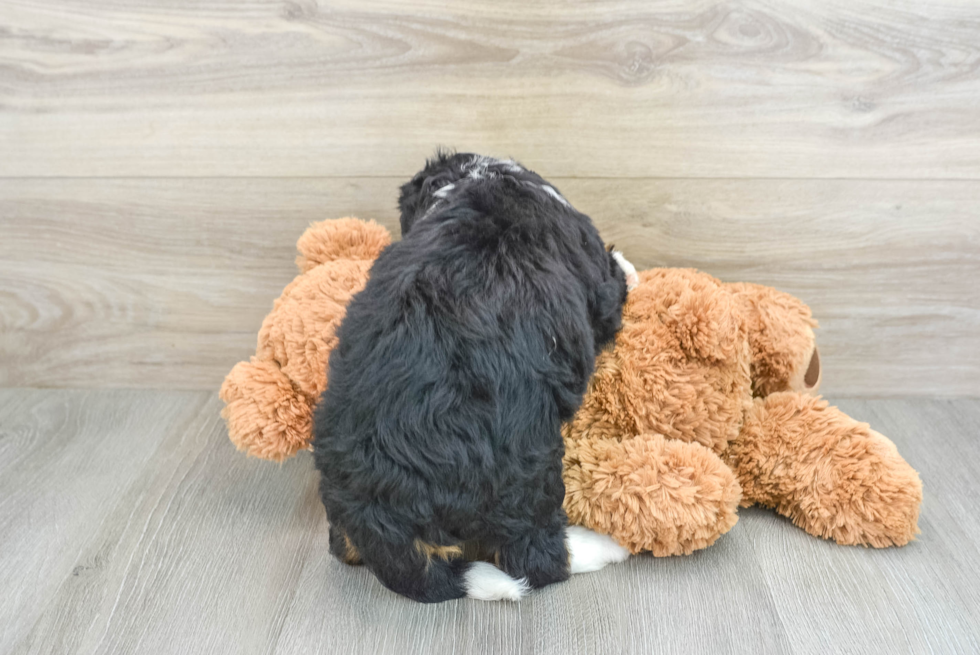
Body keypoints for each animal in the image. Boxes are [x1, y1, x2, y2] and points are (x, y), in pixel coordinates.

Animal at [314, 151, 636, 604]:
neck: (481, 178)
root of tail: (381, 517)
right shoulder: (597, 279)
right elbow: (614, 283)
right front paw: (628, 265)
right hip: (528, 471)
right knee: (538, 559)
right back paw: (603, 546)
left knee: (341, 547)